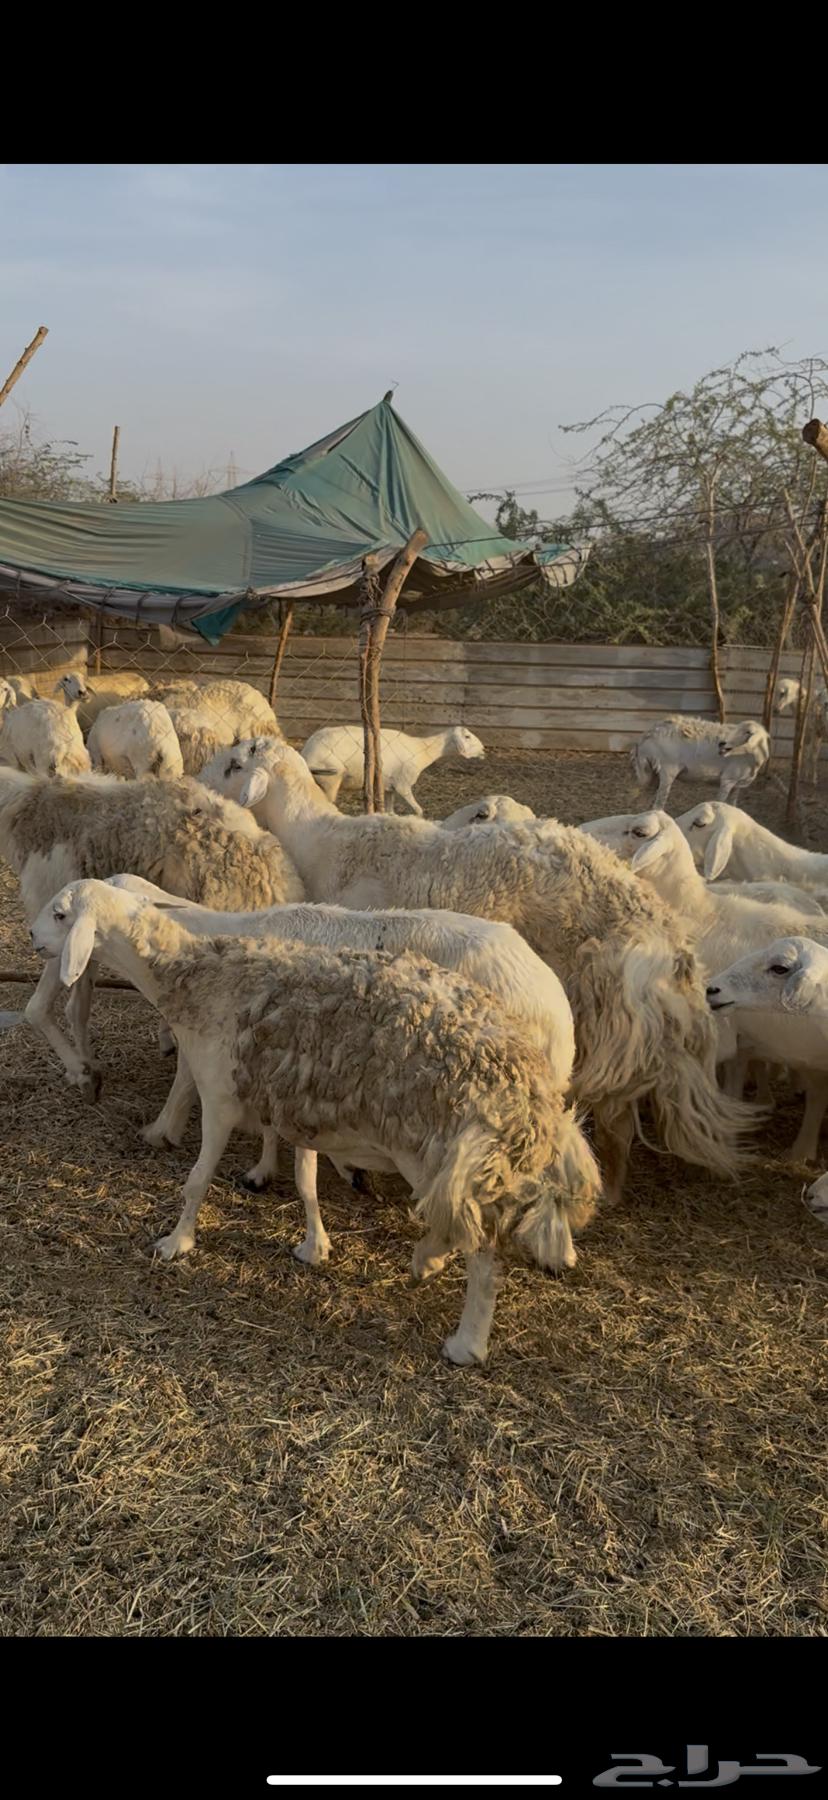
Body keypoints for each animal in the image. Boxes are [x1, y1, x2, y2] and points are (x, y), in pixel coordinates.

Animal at [0, 767, 303, 1098]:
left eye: (59, 914)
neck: (25, 810)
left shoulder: (58, 932)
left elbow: (38, 1009)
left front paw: (81, 1072)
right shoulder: (89, 937)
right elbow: (77, 1008)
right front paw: (89, 1069)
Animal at [205, 738, 753, 1205]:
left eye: (234, 764)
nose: (199, 781)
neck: (326, 841)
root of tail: (665, 933)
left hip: (605, 1019)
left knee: (614, 1117)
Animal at [300, 724, 485, 815]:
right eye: (467, 736)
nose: (484, 750)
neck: (421, 750)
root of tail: (307, 753)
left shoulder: (390, 787)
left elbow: (390, 812)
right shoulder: (403, 785)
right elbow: (419, 811)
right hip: (330, 779)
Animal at [631, 715, 770, 808]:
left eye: (748, 732)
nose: (722, 743)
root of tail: (649, 733)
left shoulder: (737, 784)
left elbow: (733, 806)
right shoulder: (728, 780)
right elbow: (720, 803)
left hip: (654, 773)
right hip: (667, 770)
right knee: (658, 805)